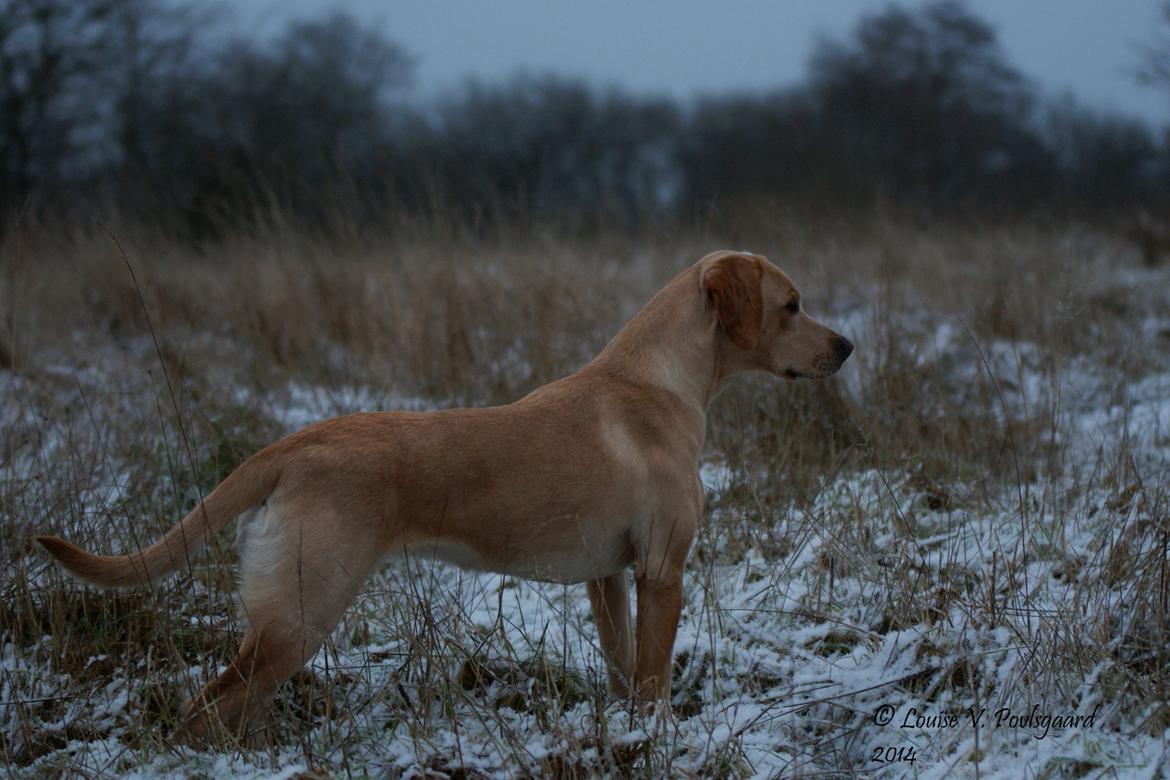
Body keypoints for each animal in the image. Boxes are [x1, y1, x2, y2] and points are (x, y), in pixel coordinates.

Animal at [36, 249, 856, 739]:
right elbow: (653, 676)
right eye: (792, 305)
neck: (659, 382)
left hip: (284, 623)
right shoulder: (663, 570)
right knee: (202, 708)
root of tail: (292, 445)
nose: (847, 345)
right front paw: (659, 739)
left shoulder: (609, 577)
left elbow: (624, 669)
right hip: (300, 614)